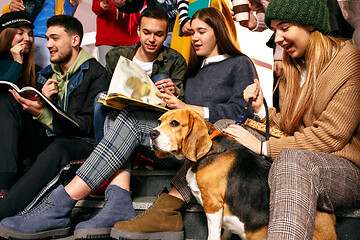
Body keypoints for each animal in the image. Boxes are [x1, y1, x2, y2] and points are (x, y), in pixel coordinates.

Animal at [149, 109, 338, 240]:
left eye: (174, 123)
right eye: (159, 121)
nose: (152, 133)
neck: (210, 151)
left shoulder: (213, 204)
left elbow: (212, 235)